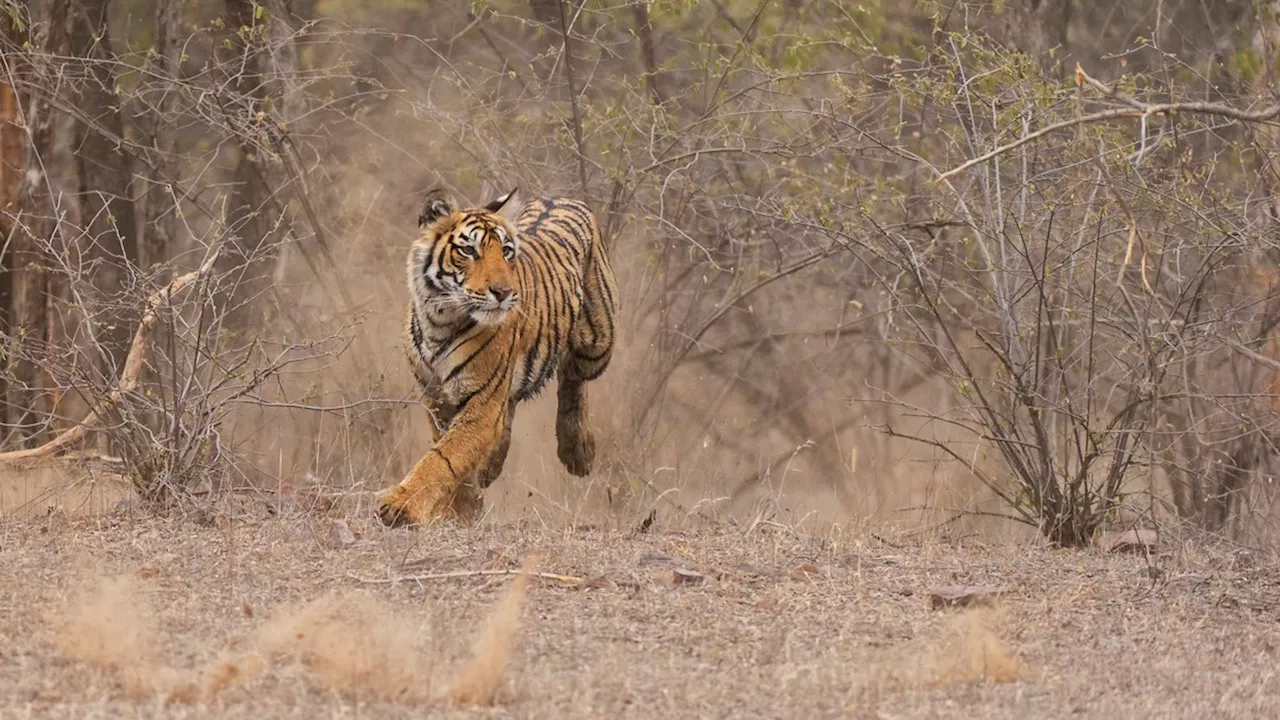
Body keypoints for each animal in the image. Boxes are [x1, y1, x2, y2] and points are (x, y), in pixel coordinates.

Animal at [373, 188, 619, 525]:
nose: (503, 292)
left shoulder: (482, 400)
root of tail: (561, 197)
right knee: (512, 408)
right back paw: (493, 465)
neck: (440, 320)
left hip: (595, 345)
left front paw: (399, 506)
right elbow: (452, 454)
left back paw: (577, 451)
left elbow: (444, 457)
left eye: (506, 251)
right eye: (468, 250)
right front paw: (462, 509)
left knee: (573, 378)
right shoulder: (437, 398)